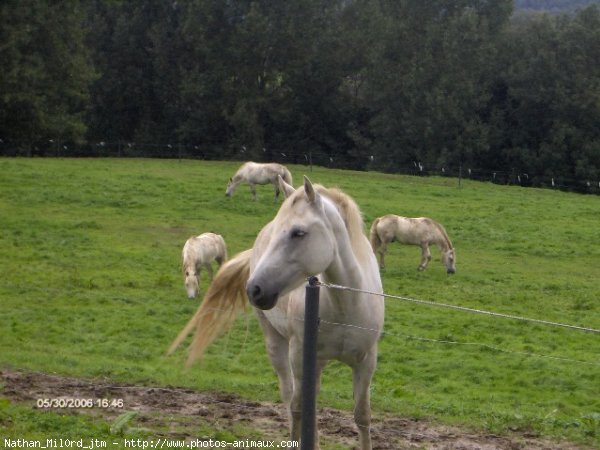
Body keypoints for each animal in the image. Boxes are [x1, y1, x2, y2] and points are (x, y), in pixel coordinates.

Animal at [169, 176, 384, 450]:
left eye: (298, 232)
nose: (254, 289)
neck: (345, 304)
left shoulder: (366, 362)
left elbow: (362, 415)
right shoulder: (300, 356)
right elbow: (298, 408)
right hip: (278, 345)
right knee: (290, 395)